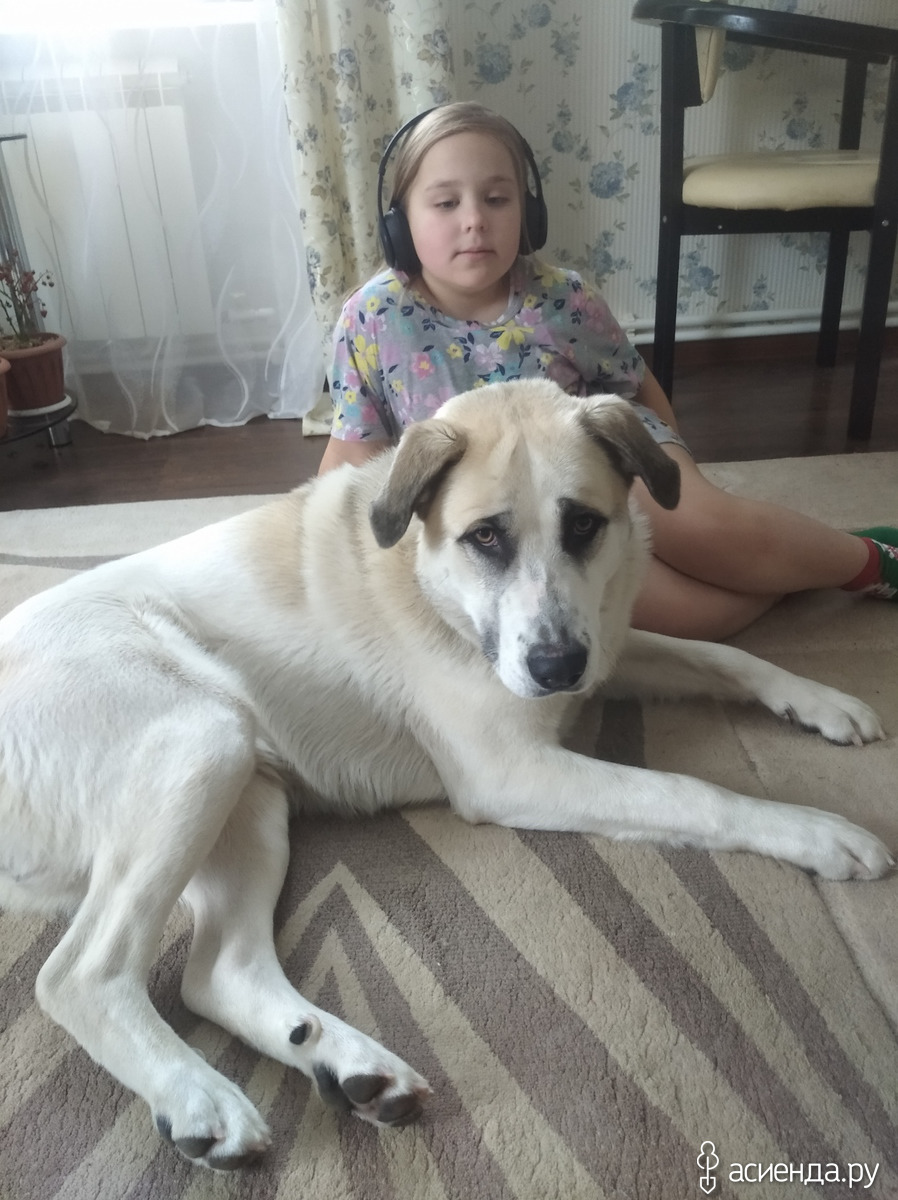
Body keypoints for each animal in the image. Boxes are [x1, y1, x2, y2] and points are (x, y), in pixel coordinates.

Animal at [0, 379, 892, 1170]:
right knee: (80, 975)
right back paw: (197, 1098)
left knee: (217, 975)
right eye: (486, 538)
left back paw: (351, 1067)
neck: (434, 587)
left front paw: (822, 702)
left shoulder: (603, 647)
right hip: (203, 741)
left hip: (247, 798)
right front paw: (818, 832)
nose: (557, 669)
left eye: (584, 525)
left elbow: (720, 655)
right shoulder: (513, 769)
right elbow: (693, 792)